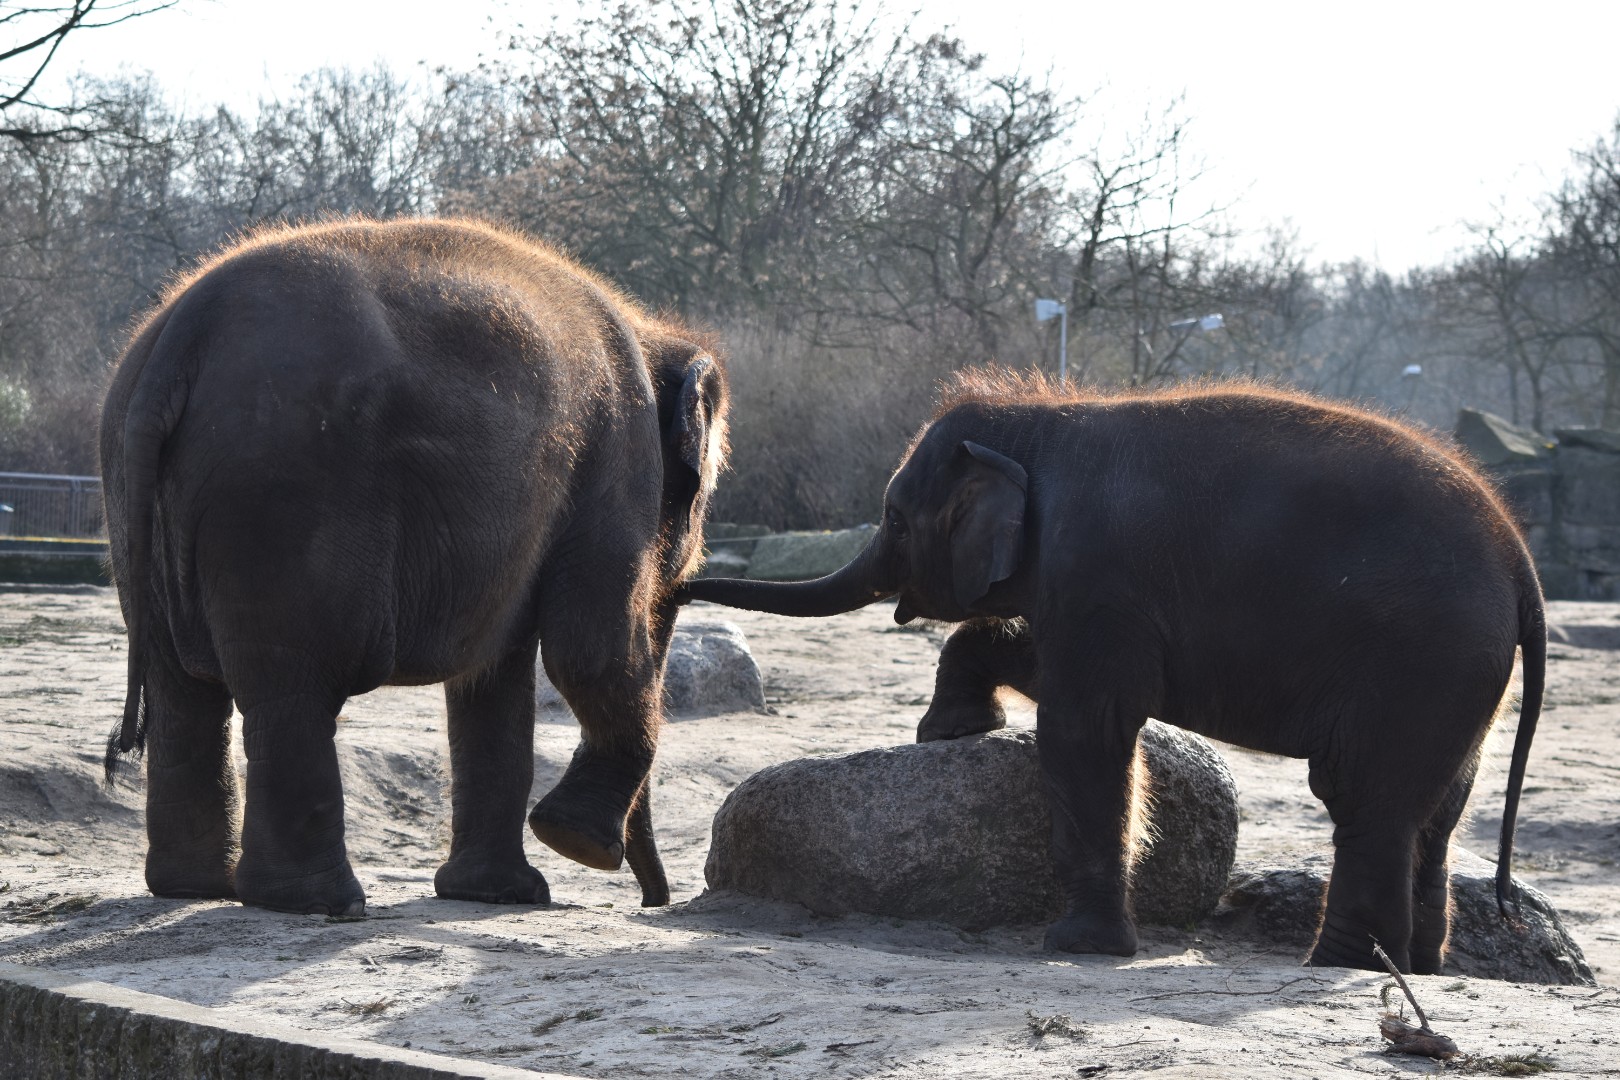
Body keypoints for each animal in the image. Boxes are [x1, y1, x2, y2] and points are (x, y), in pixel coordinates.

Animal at [100, 218, 728, 917]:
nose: (653, 901)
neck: (650, 336)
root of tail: (180, 335)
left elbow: (494, 674)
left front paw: (498, 894)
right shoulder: (618, 457)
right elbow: (588, 648)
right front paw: (575, 845)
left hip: (143, 493)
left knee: (184, 691)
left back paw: (196, 887)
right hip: (283, 491)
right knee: (293, 687)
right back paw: (320, 903)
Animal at [681, 371, 1545, 975]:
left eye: (894, 517)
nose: (676, 583)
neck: (1041, 423)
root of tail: (1519, 560)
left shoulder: (1098, 574)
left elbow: (1085, 729)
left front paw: (1078, 946)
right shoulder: (1085, 591)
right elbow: (1039, 666)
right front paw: (952, 732)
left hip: (1419, 659)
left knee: (1365, 801)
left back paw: (1338, 963)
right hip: (1460, 675)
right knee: (1438, 809)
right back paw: (1419, 965)